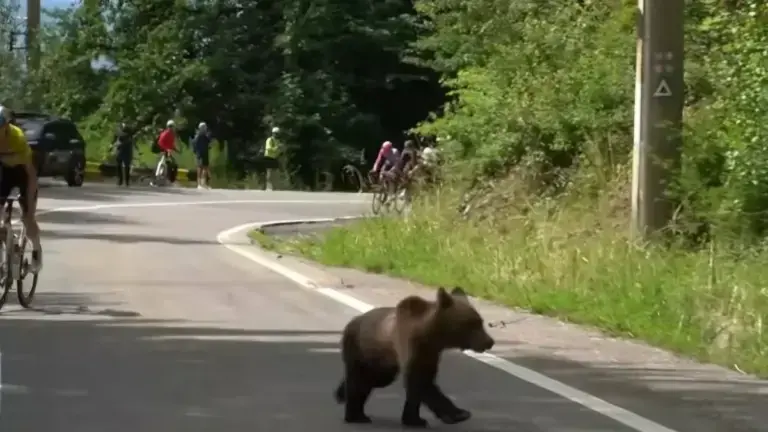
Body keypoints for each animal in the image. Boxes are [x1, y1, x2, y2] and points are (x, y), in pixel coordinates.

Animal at [333, 286, 495, 428]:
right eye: (472, 323)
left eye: (481, 322)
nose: (489, 341)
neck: (432, 337)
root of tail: (352, 322)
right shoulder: (410, 344)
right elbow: (420, 381)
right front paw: (459, 414)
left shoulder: (431, 354)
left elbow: (422, 382)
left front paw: (414, 419)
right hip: (359, 349)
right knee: (357, 380)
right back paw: (354, 415)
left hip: (380, 362)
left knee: (371, 380)